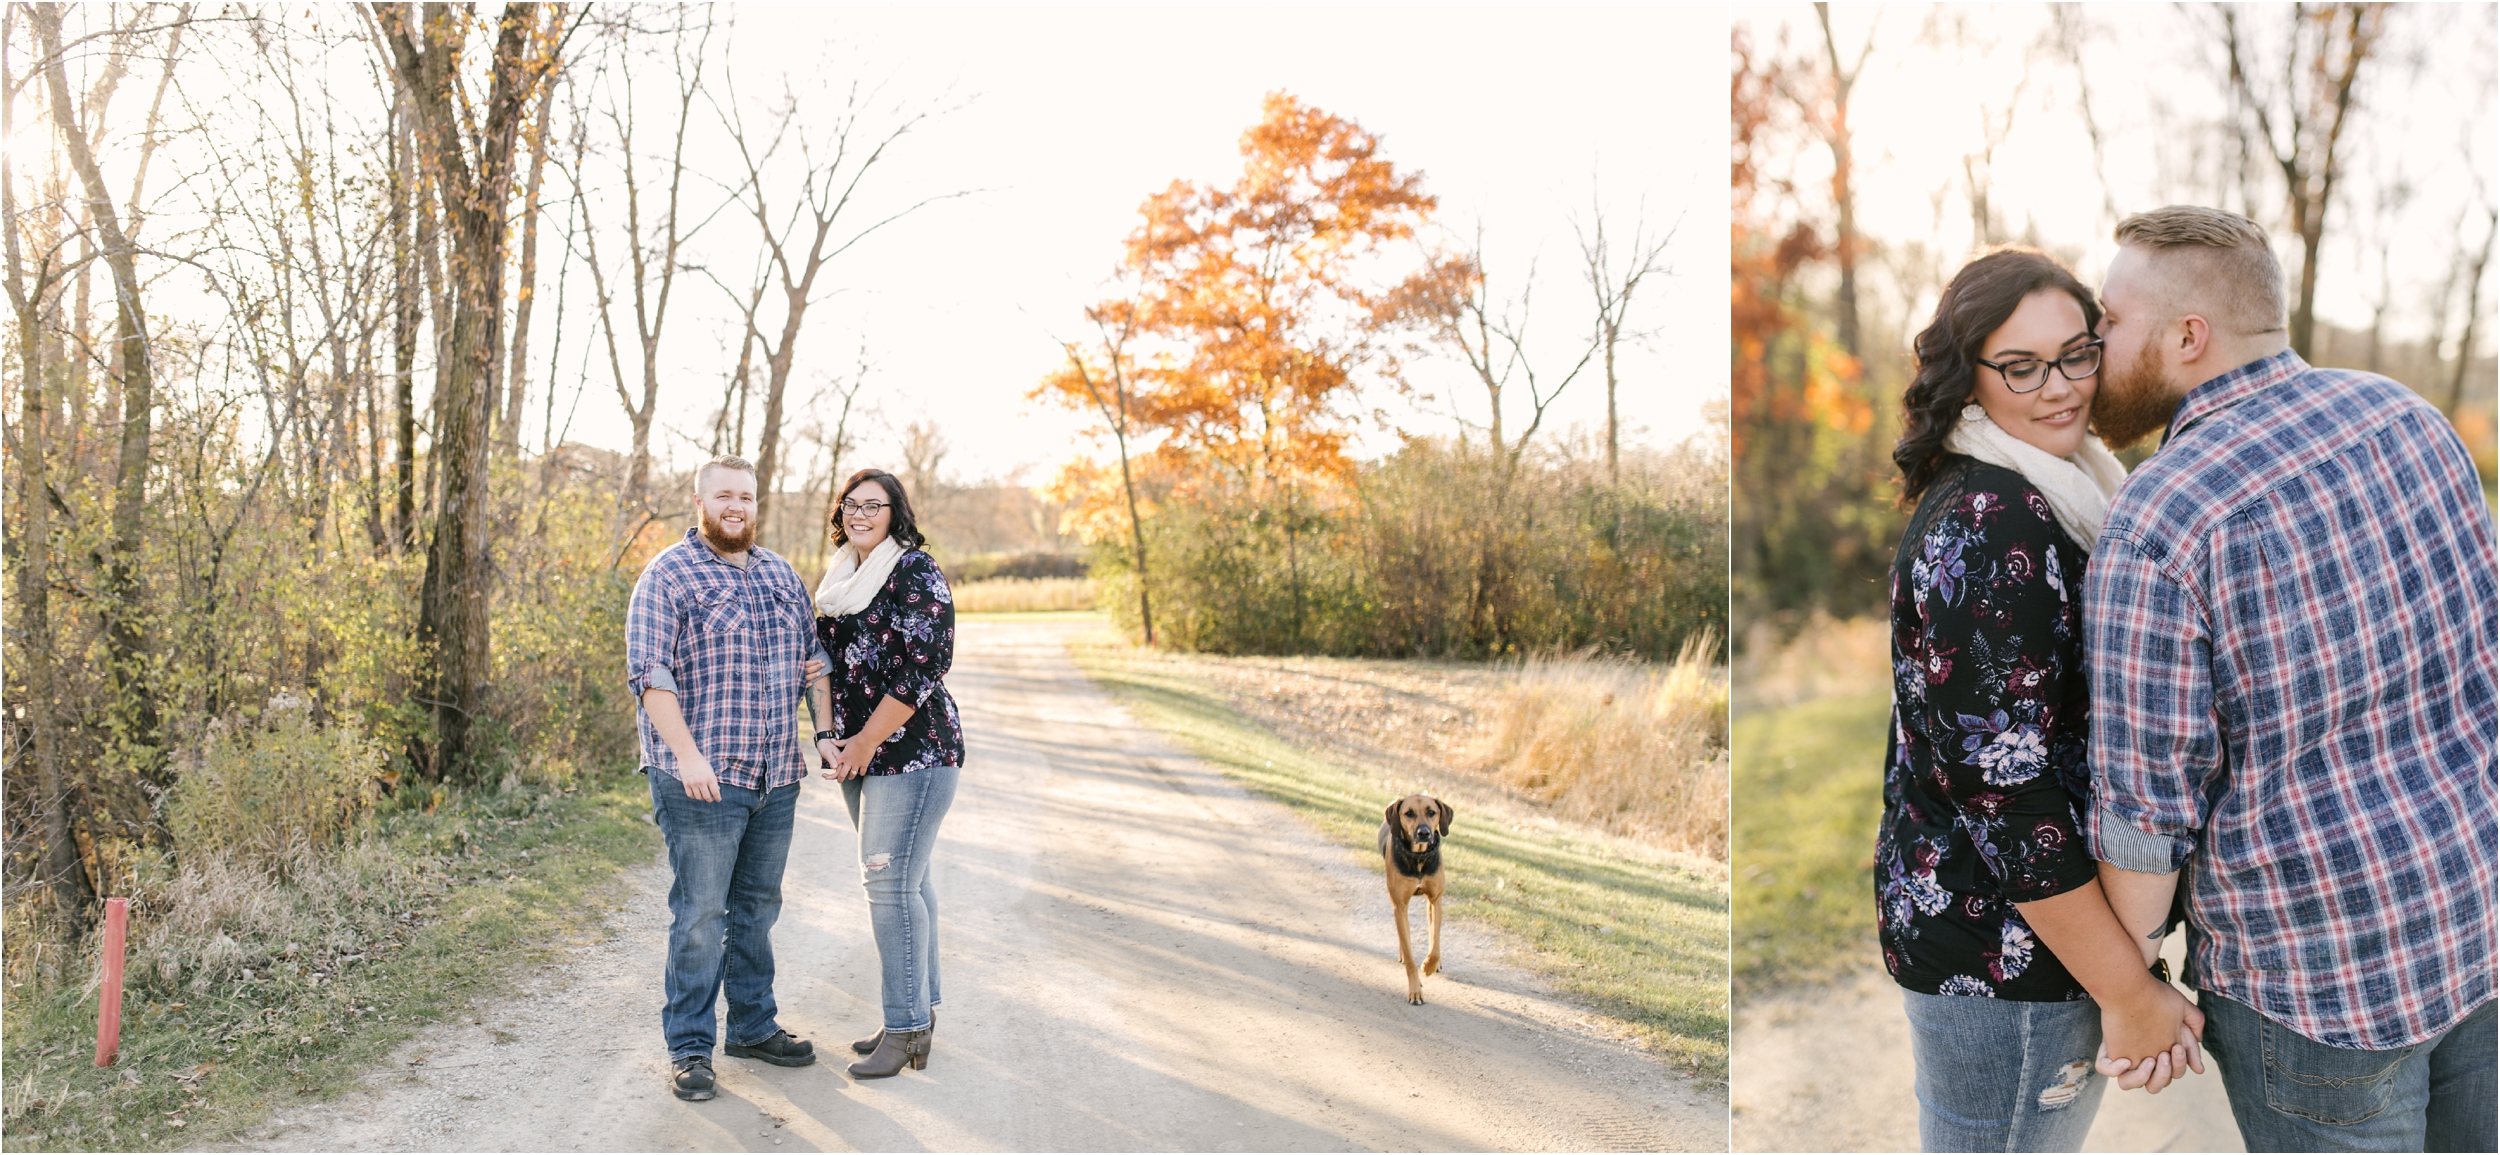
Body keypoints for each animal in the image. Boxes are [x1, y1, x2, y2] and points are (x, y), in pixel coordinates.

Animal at [1380, 795, 1460, 1000]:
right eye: (1409, 813)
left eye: (1431, 812)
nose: (1424, 833)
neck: (1418, 857)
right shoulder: (1400, 905)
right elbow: (1410, 956)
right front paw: (1415, 990)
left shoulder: (1435, 899)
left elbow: (1435, 941)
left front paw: (1430, 965)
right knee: (1405, 935)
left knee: (1432, 932)